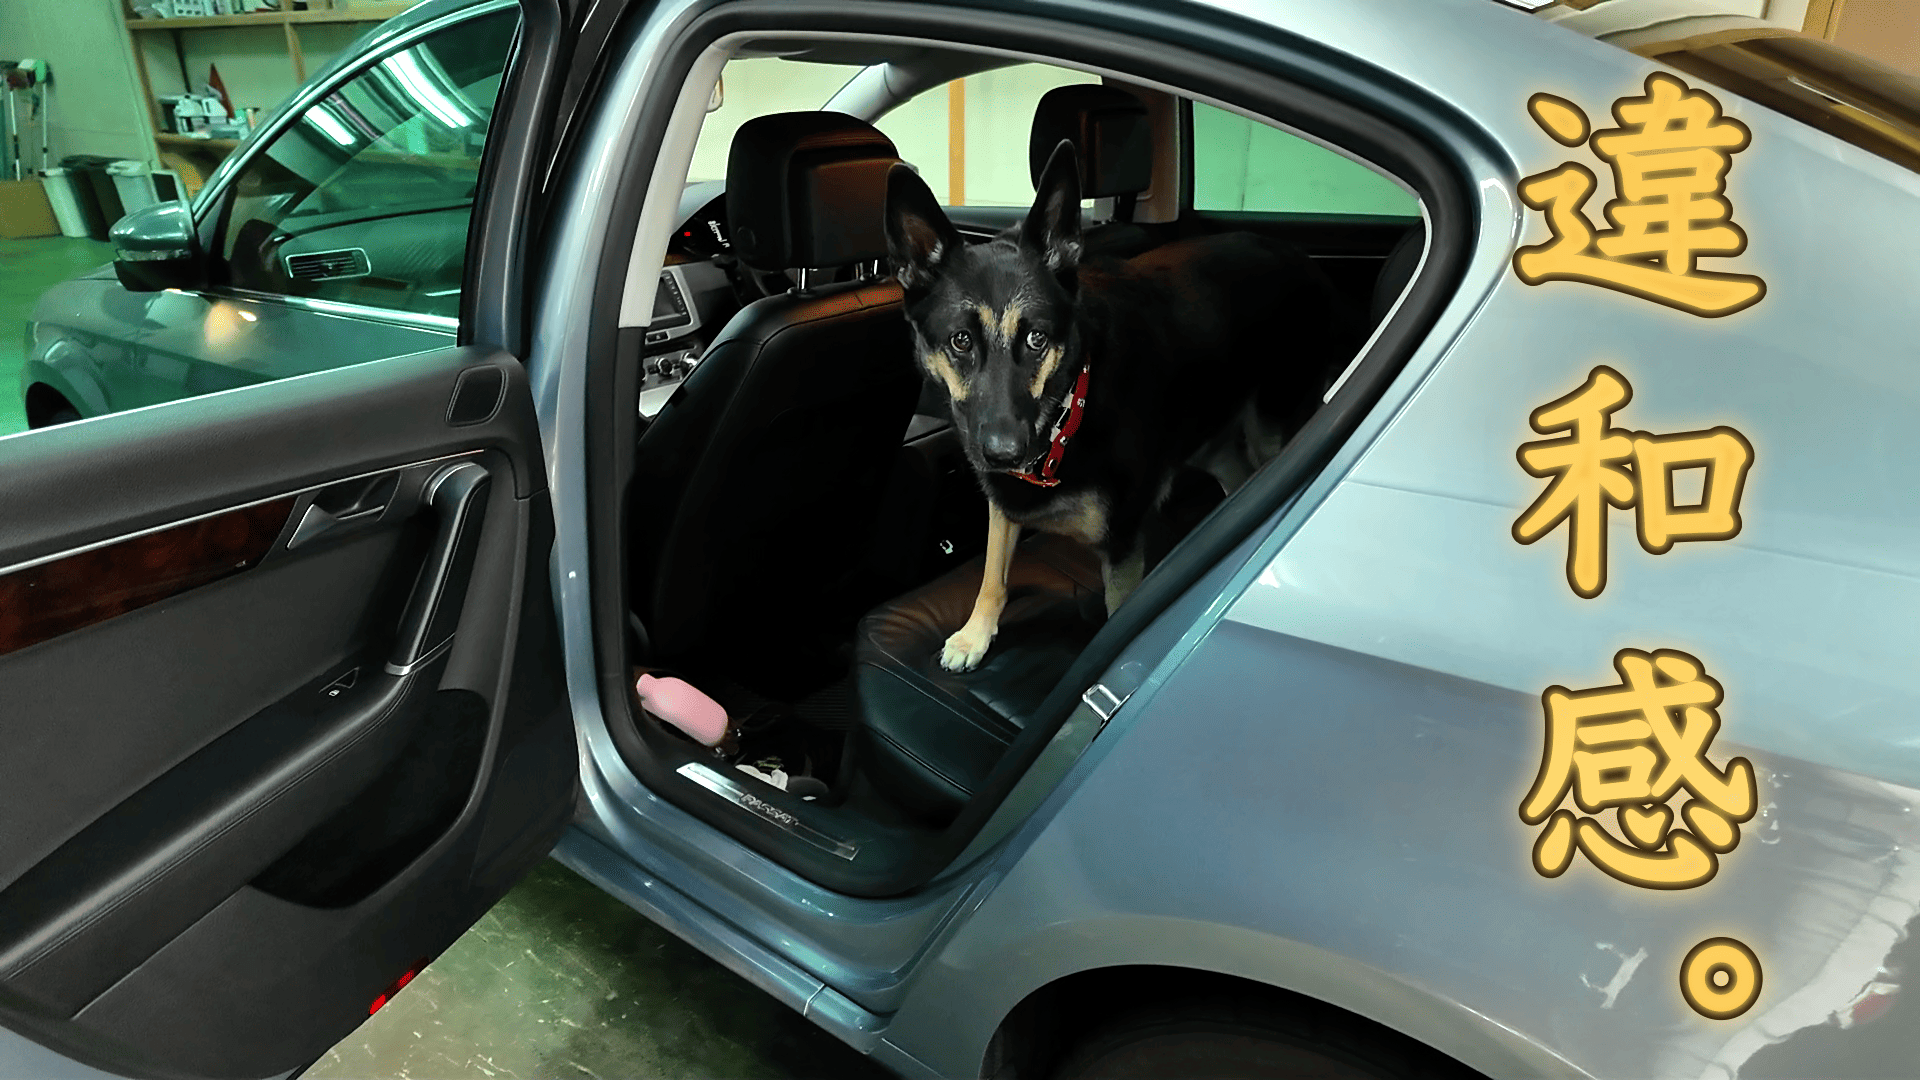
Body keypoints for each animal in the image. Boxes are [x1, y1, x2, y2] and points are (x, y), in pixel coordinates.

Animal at [884, 141, 1361, 672]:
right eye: (961, 341)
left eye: (1037, 338)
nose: (1005, 454)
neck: (1072, 410)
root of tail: (1300, 256)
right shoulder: (1006, 501)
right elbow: (992, 575)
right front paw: (976, 633)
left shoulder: (1123, 549)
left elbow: (1111, 614)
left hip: (1269, 425)